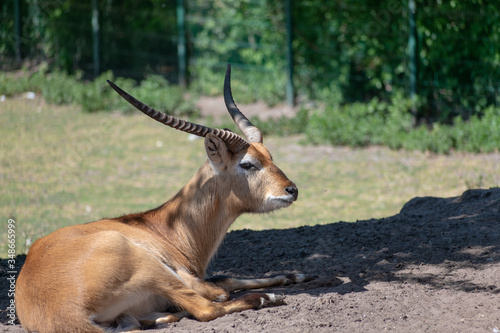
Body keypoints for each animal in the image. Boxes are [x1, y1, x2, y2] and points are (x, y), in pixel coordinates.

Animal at [16, 63, 316, 330]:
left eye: (269, 156)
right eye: (248, 164)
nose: (291, 190)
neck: (163, 228)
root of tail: (67, 312)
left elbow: (226, 277)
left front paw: (297, 274)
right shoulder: (185, 275)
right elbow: (220, 287)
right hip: (152, 269)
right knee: (207, 307)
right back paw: (266, 298)